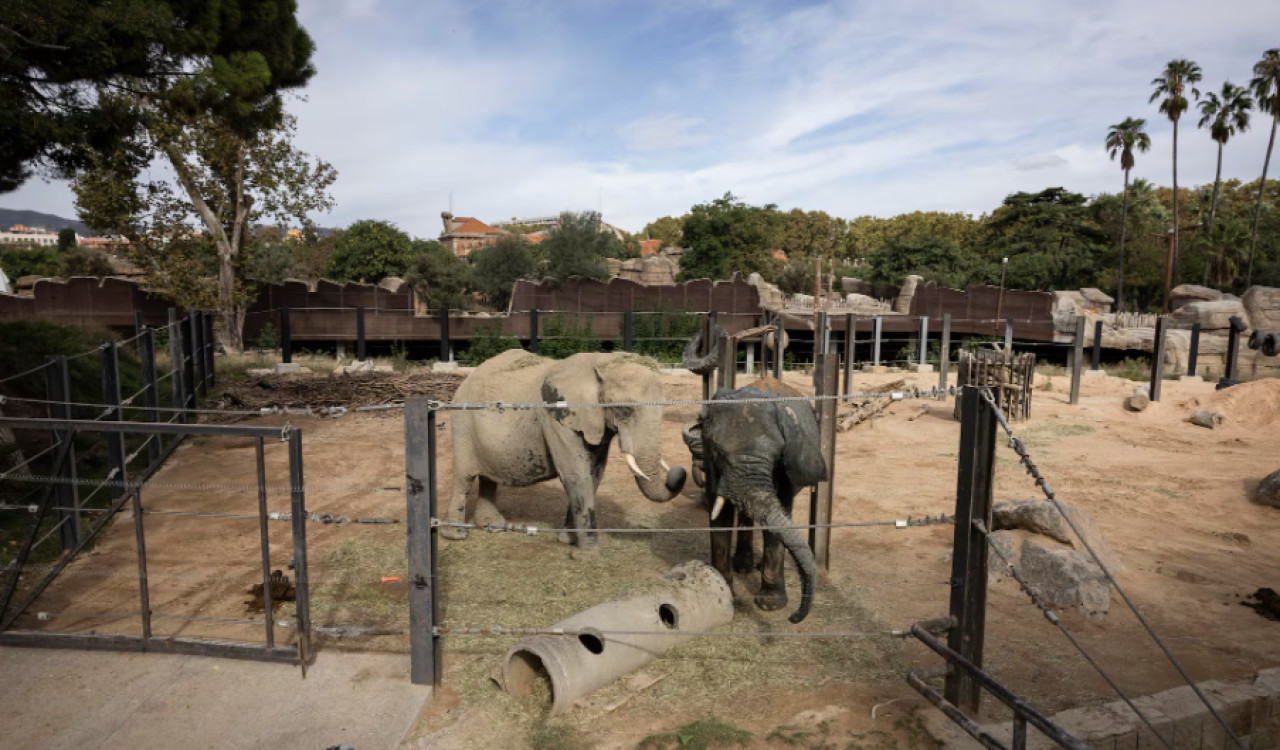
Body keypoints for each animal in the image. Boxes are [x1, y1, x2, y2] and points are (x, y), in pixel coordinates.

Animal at [440, 348, 686, 552]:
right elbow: (575, 475)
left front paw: (567, 541)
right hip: (462, 422)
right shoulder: (555, 416)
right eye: (625, 410)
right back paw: (457, 535)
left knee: (488, 476)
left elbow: (594, 475)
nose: (679, 471)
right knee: (464, 477)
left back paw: (493, 526)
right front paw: (585, 553)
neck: (602, 361)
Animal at [680, 376, 829, 622]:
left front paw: (771, 604)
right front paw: (723, 594)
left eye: (777, 455)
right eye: (718, 453)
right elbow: (720, 516)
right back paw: (743, 566)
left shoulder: (785, 469)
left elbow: (777, 519)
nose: (793, 618)